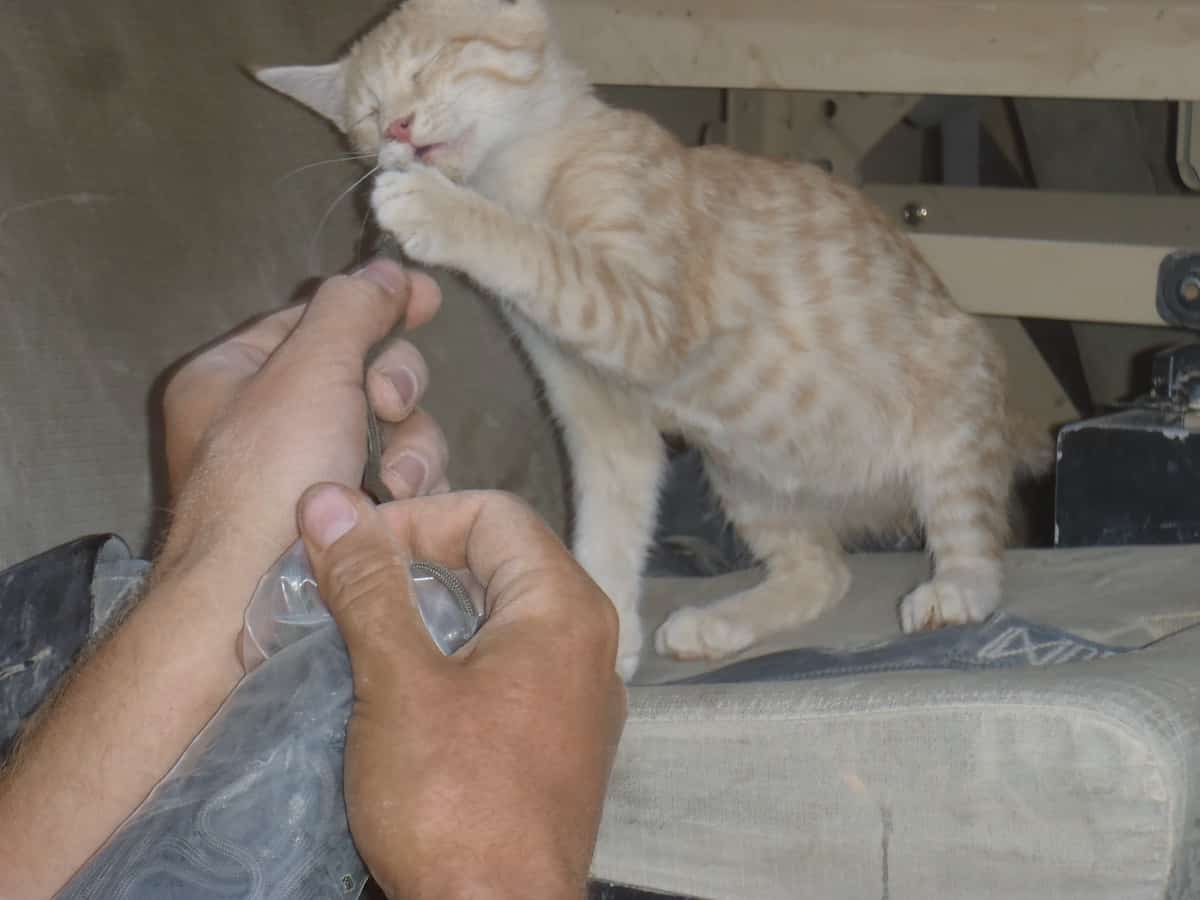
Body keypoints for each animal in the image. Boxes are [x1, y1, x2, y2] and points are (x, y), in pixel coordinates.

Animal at [258, 0, 1046, 681]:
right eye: (367, 111)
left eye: (426, 67)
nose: (396, 128)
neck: (523, 176)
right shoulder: (601, 417)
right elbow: (606, 526)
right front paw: (592, 632)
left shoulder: (649, 312)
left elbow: (539, 253)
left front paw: (439, 209)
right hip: (744, 472)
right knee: (825, 571)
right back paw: (723, 621)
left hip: (954, 392)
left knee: (972, 527)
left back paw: (956, 587)